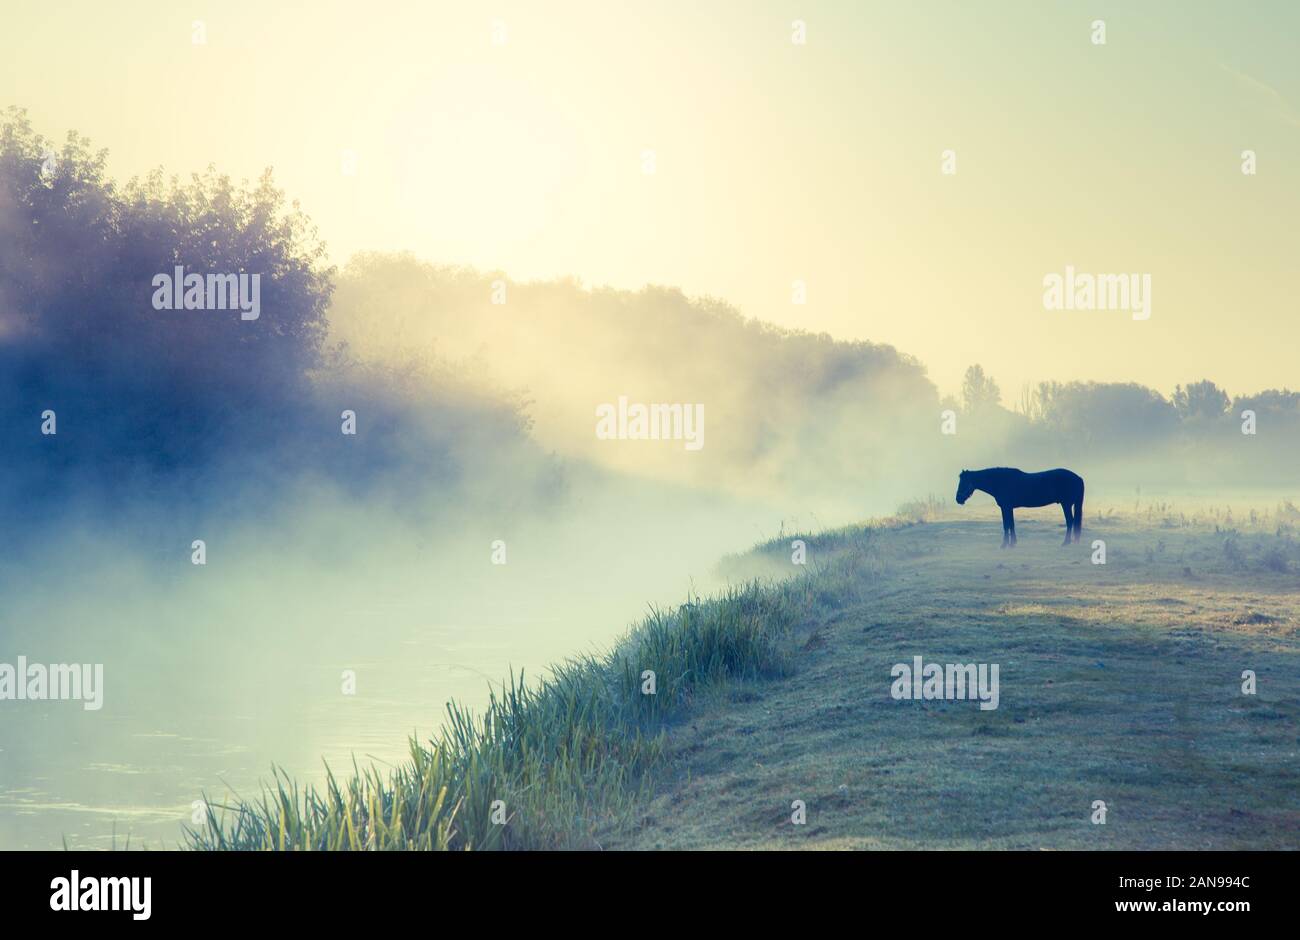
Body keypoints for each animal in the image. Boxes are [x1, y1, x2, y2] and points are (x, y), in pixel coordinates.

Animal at [956, 468, 1086, 548]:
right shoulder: (1008, 508)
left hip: (1066, 504)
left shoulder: (1005, 507)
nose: (958, 499)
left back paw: (1066, 542)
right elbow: (1011, 524)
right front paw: (1013, 544)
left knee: (1070, 522)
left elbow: (1006, 525)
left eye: (963, 482)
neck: (1000, 482)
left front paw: (1004, 545)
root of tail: (1078, 477)